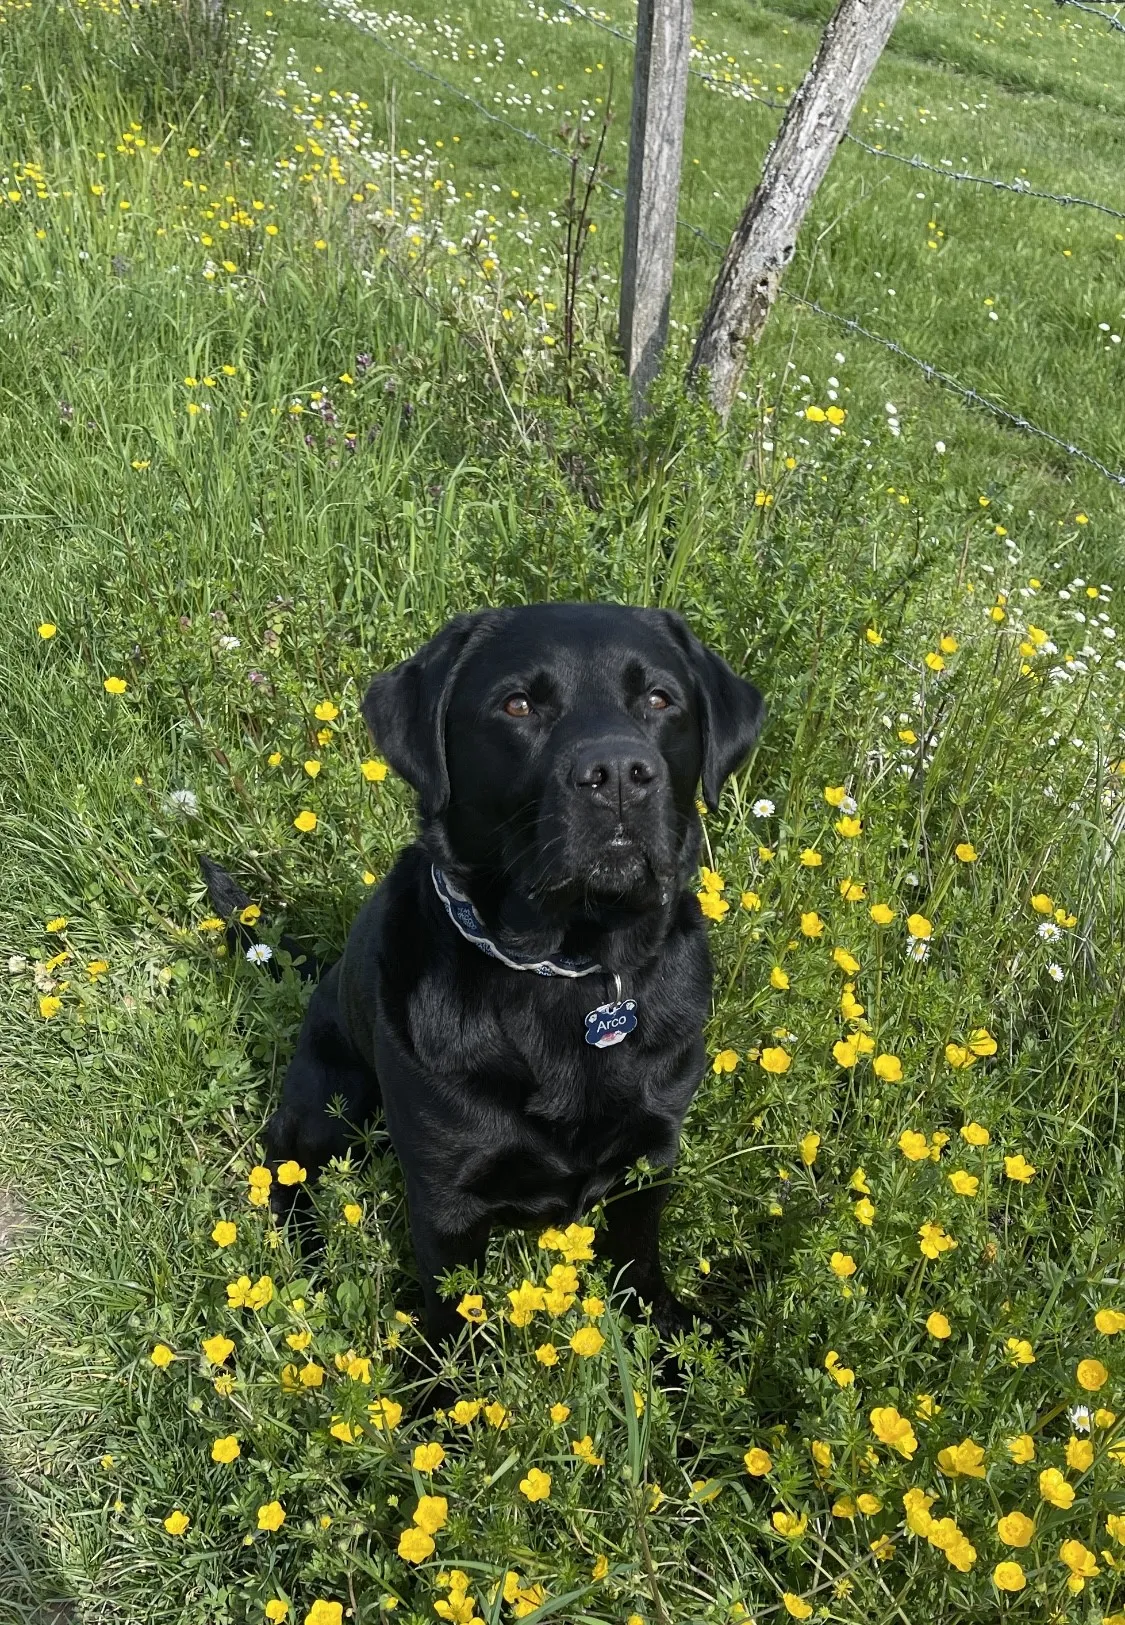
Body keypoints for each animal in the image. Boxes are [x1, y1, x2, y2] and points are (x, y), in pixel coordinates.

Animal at [221, 604, 764, 1339]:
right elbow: (455, 1320)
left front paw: (668, 1342)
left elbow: (639, 1261)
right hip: (330, 1098)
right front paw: (437, 1374)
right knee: (288, 1159)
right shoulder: (449, 1194)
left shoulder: (650, 1158)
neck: (566, 968)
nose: (619, 772)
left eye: (658, 699)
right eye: (518, 704)